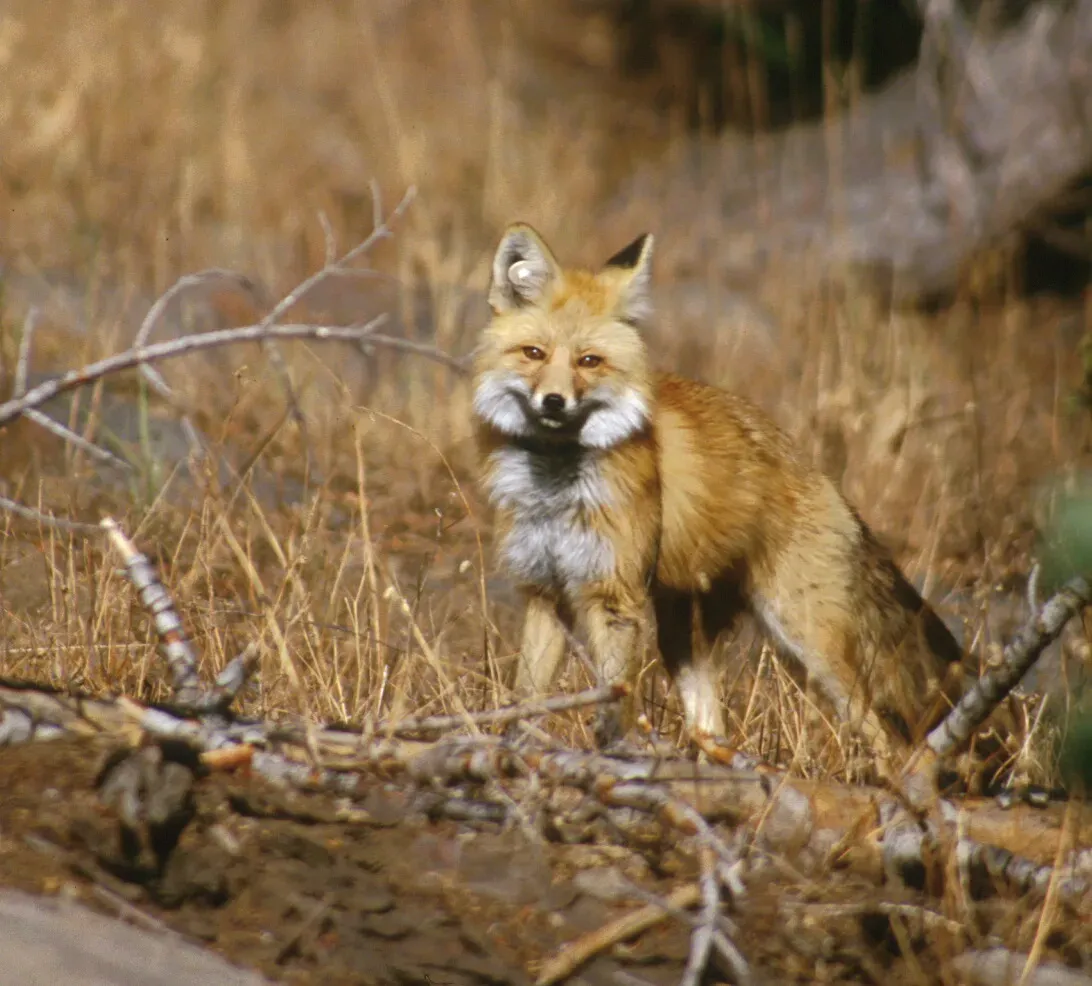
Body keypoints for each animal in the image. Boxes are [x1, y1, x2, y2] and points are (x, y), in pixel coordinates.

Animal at [472, 222, 966, 764]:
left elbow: (613, 703)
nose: (554, 402)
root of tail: (825, 480)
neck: (554, 487)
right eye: (534, 354)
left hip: (809, 646)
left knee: (893, 739)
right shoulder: (544, 590)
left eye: (589, 361)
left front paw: (614, 756)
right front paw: (514, 750)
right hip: (686, 637)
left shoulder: (615, 597)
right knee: (713, 725)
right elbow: (525, 698)